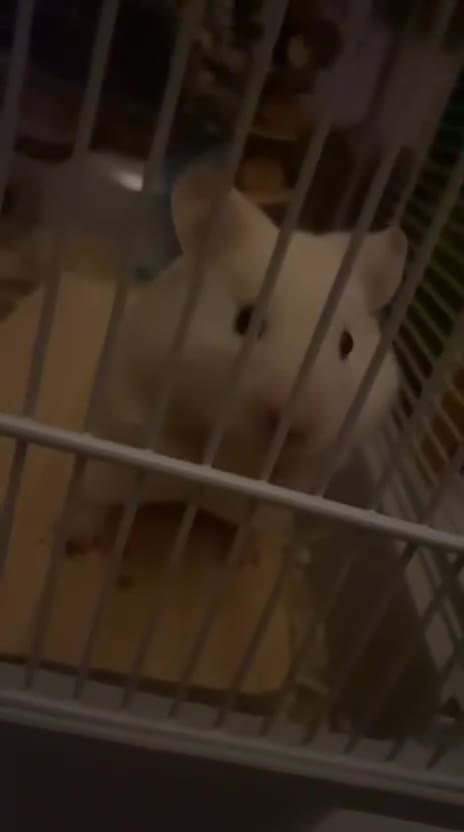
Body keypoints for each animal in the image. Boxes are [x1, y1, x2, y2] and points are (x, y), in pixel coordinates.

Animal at [67, 163, 407, 552]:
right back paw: (77, 538)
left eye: (348, 344)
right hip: (102, 469)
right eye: (244, 321)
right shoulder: (138, 390)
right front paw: (196, 466)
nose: (291, 425)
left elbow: (295, 474)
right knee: (94, 496)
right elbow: (172, 444)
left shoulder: (338, 444)